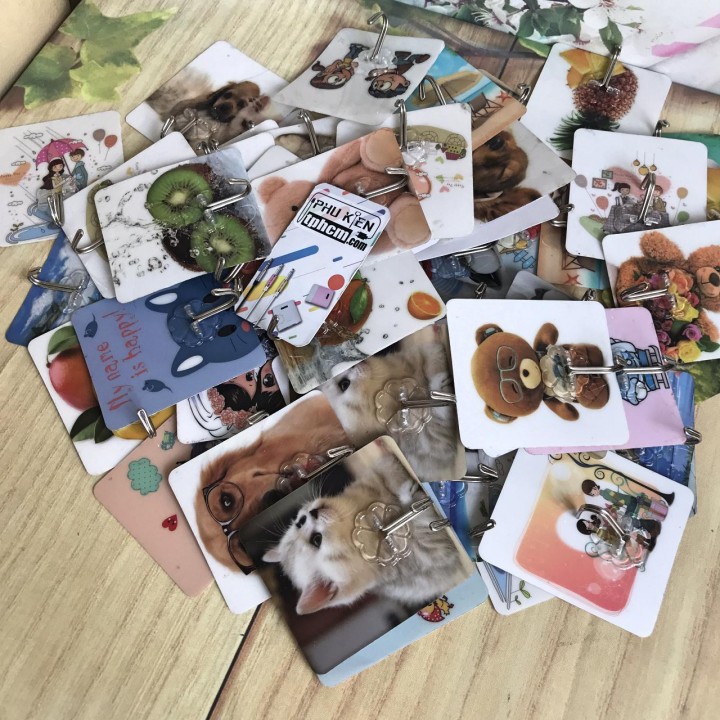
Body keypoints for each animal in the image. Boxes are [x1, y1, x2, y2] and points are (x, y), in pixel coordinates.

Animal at [262, 439, 471, 615]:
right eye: (317, 540)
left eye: (299, 523)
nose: (310, 514)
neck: (354, 511)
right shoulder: (430, 551)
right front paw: (408, 496)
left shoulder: (375, 475)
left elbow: (387, 470)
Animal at [319, 325, 463, 483]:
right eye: (344, 384)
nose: (354, 365)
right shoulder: (433, 443)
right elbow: (438, 416)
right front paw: (441, 386)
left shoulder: (417, 356)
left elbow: (432, 357)